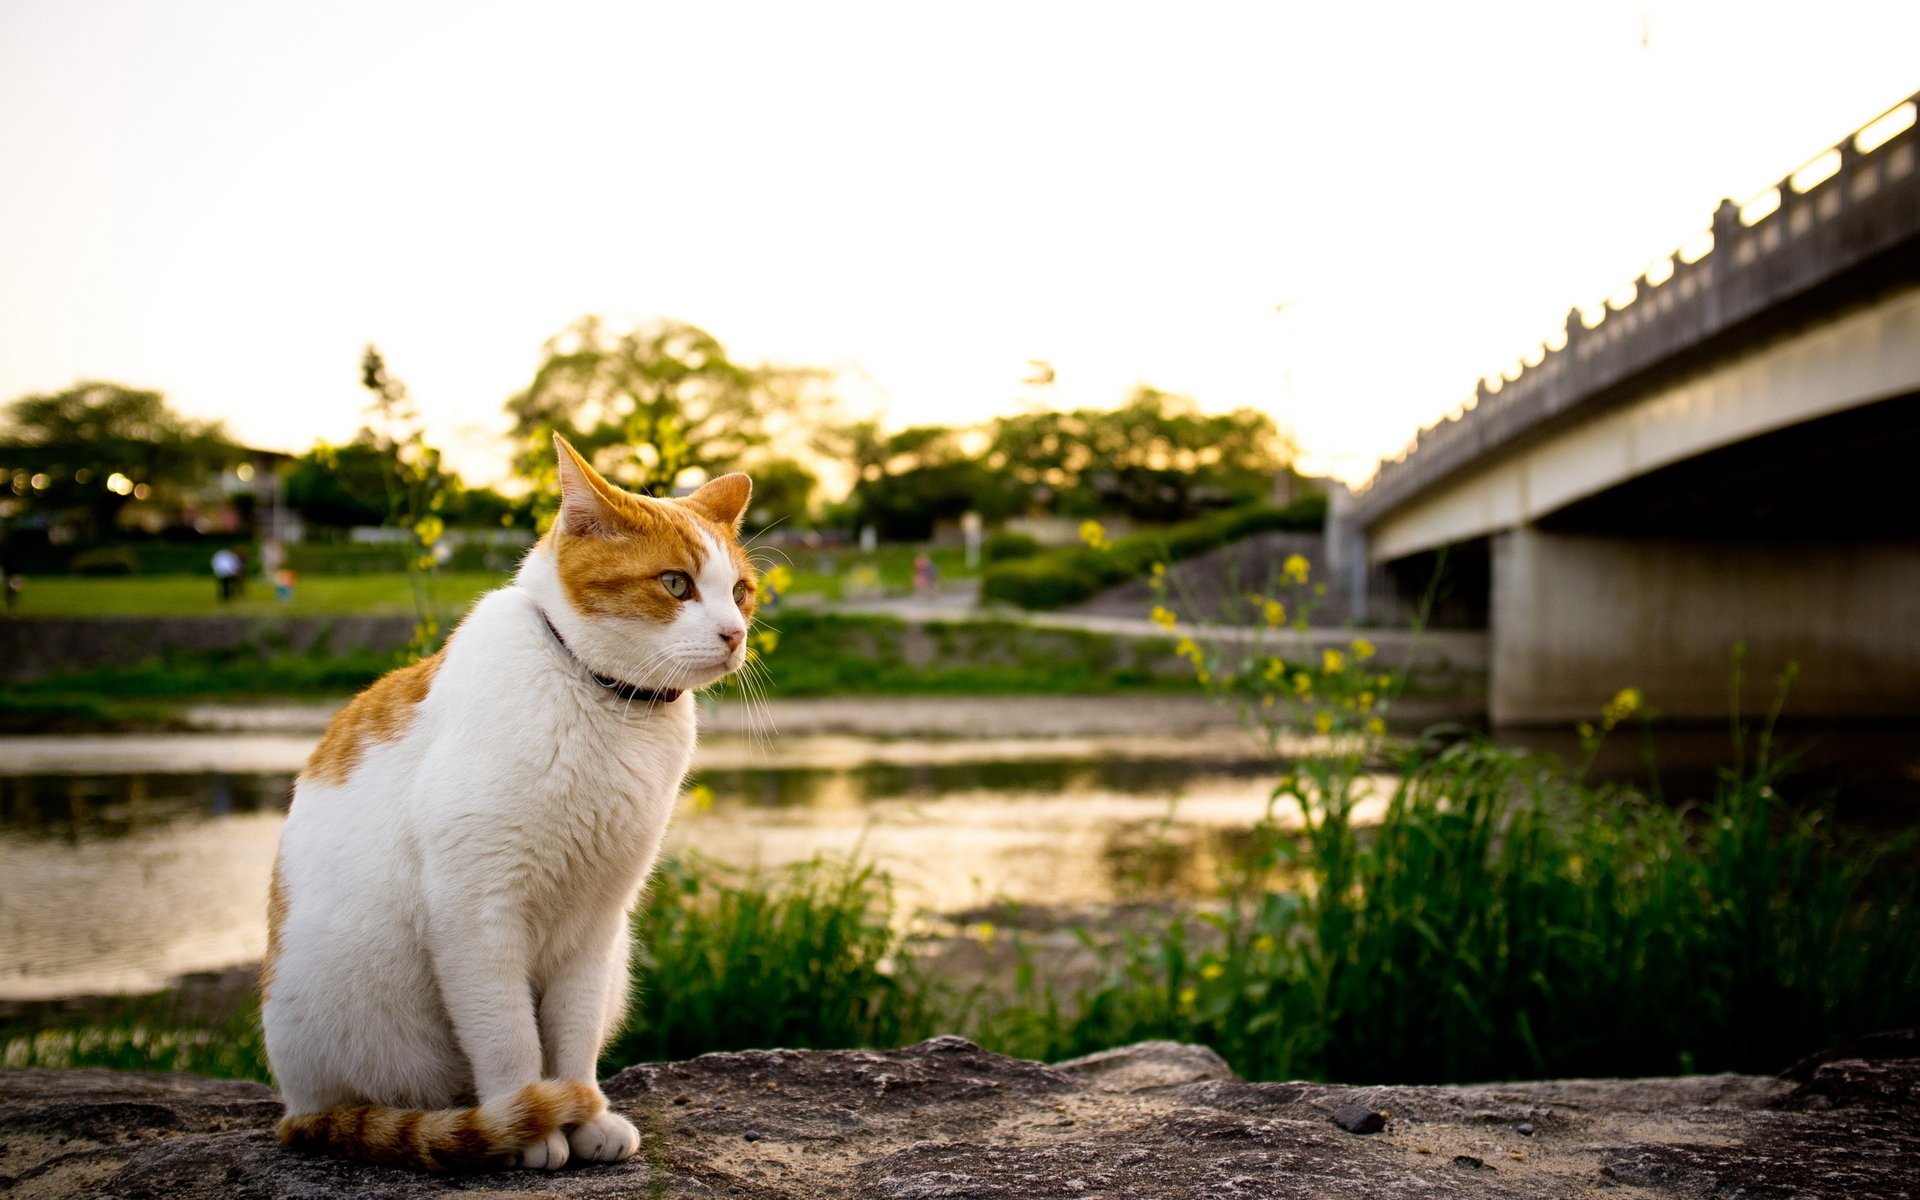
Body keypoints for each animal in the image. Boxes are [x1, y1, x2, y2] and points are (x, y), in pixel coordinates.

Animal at [259, 432, 752, 1167]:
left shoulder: (598, 918)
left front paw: (582, 1113)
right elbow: (508, 1036)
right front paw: (531, 1123)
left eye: (741, 591)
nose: (734, 634)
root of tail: (296, 1106)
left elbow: (573, 1032)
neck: (603, 703)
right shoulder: (478, 913)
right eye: (675, 584)